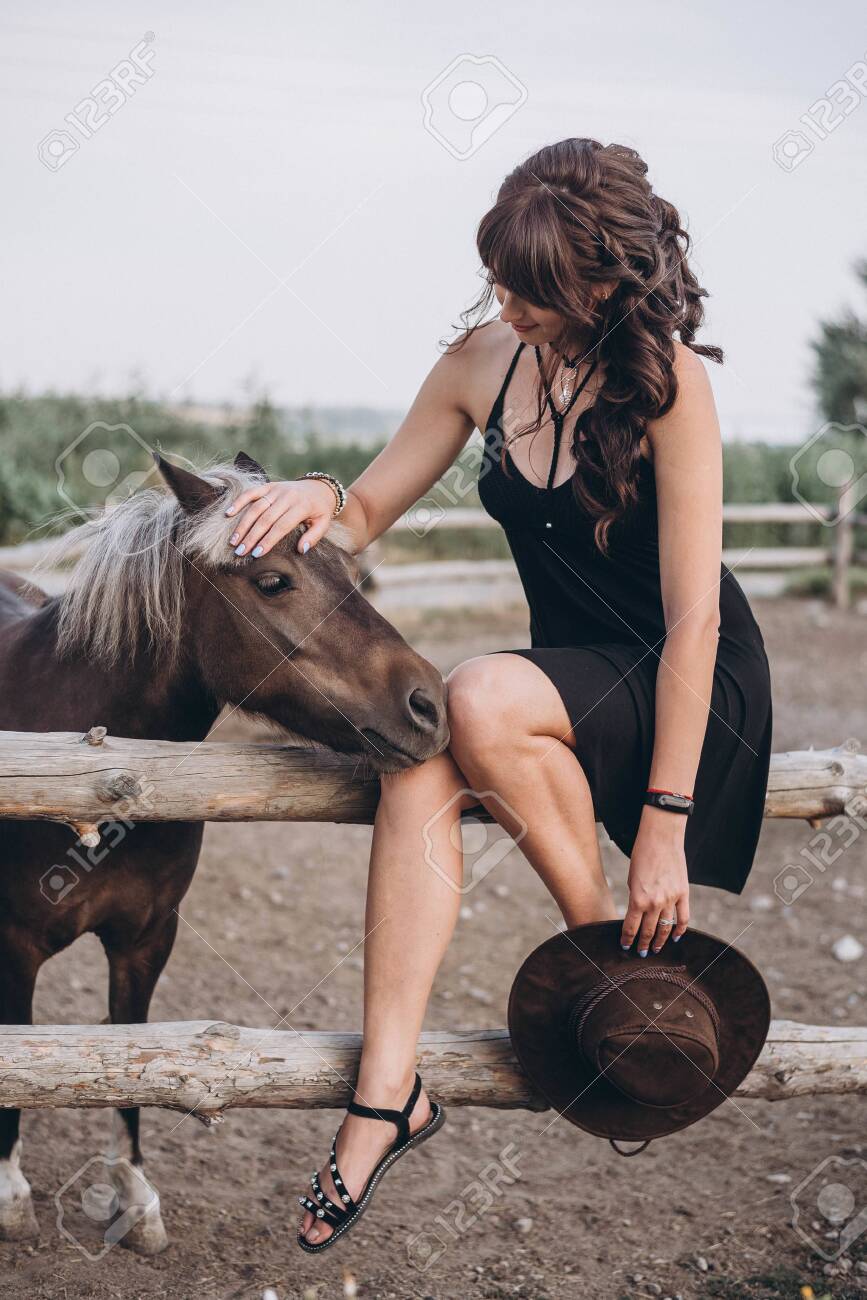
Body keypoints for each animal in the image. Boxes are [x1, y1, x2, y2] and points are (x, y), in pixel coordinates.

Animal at [0, 452, 447, 1253]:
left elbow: (134, 1059)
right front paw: (10, 1193)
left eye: (350, 571)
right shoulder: (14, 943)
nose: (429, 705)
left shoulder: (146, 941)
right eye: (272, 580)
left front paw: (135, 1198)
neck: (95, 764)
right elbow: (17, 1051)